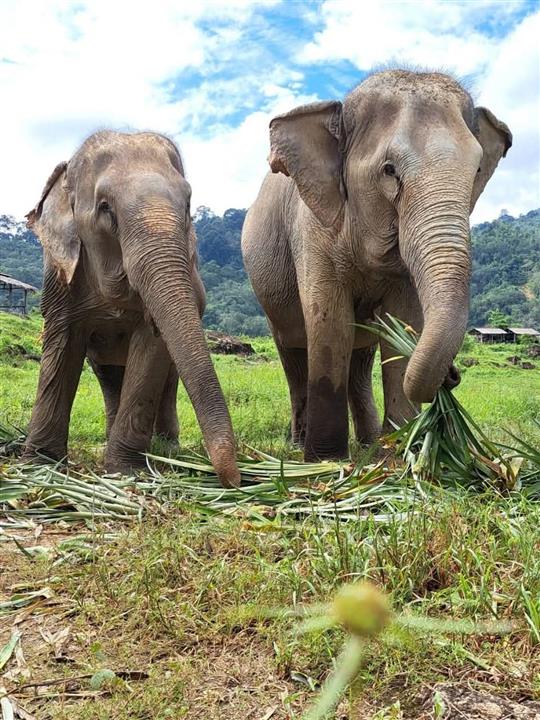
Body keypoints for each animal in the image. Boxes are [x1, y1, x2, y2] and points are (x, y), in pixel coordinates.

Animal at [24, 130, 240, 488]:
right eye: (105, 207)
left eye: (188, 205)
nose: (234, 481)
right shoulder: (58, 275)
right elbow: (61, 344)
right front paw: (39, 466)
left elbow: (151, 347)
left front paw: (124, 471)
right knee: (109, 375)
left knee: (167, 378)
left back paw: (166, 447)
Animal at [242, 69, 511, 462]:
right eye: (389, 170)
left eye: (477, 170)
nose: (452, 375)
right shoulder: (311, 227)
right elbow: (331, 325)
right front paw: (326, 460)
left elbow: (401, 324)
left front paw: (399, 452)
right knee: (293, 352)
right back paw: (299, 443)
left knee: (361, 356)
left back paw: (370, 442)